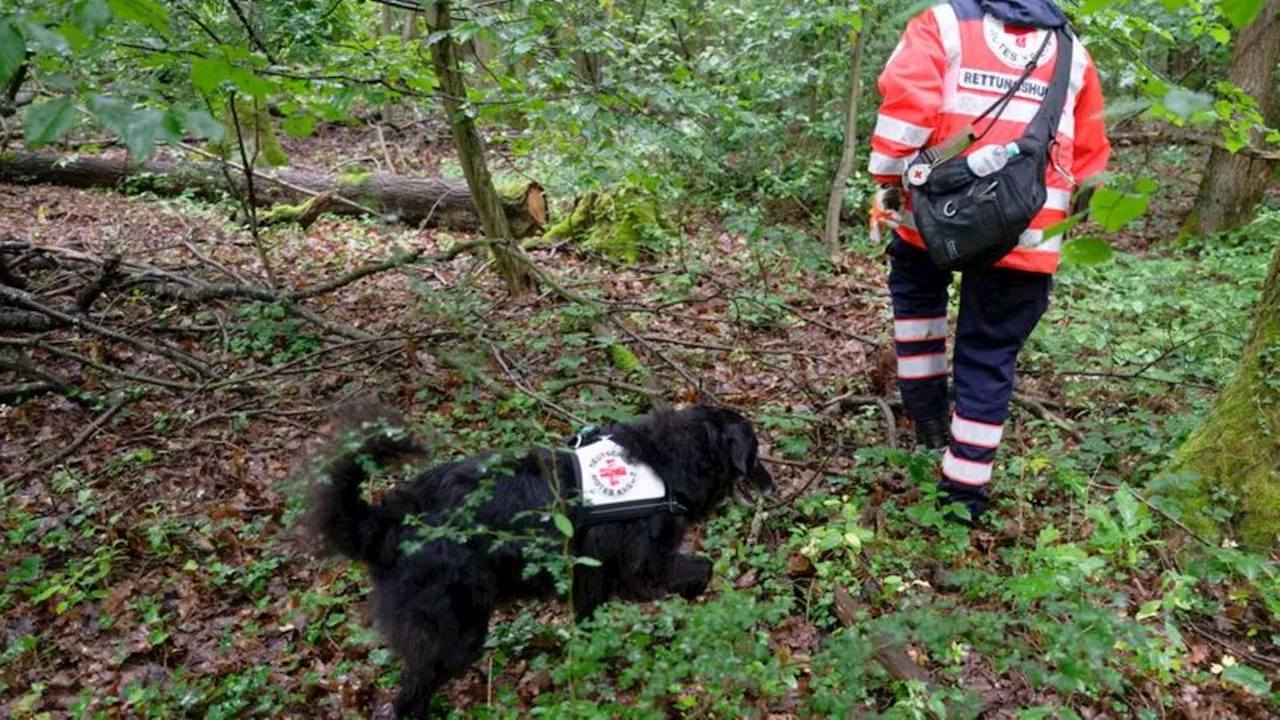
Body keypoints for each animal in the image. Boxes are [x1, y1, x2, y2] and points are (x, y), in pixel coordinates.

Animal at [304, 399, 773, 712]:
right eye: (755, 451)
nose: (772, 483)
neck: (669, 460)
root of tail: (387, 520)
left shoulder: (589, 580)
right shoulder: (643, 569)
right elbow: (701, 568)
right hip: (454, 632)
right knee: (406, 700)